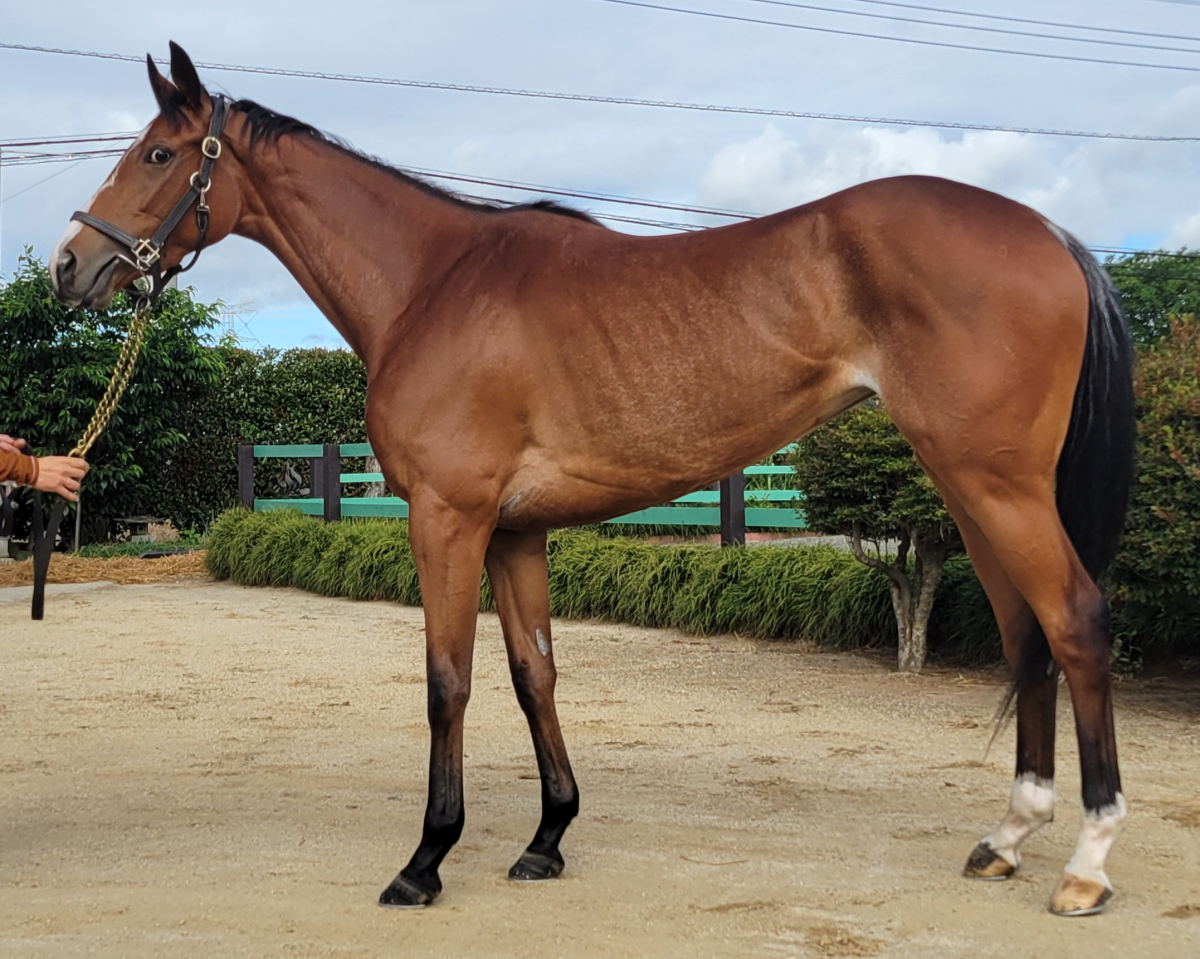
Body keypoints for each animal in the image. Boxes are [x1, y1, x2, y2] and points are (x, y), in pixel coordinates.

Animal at [50, 44, 1135, 917]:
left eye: (157, 154)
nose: (68, 266)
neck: (435, 282)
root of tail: (1051, 235)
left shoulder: (448, 519)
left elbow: (448, 679)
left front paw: (426, 859)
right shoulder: (516, 530)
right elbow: (534, 672)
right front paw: (546, 839)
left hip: (998, 485)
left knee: (1077, 623)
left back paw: (1087, 865)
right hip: (970, 488)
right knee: (1027, 638)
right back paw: (1007, 838)